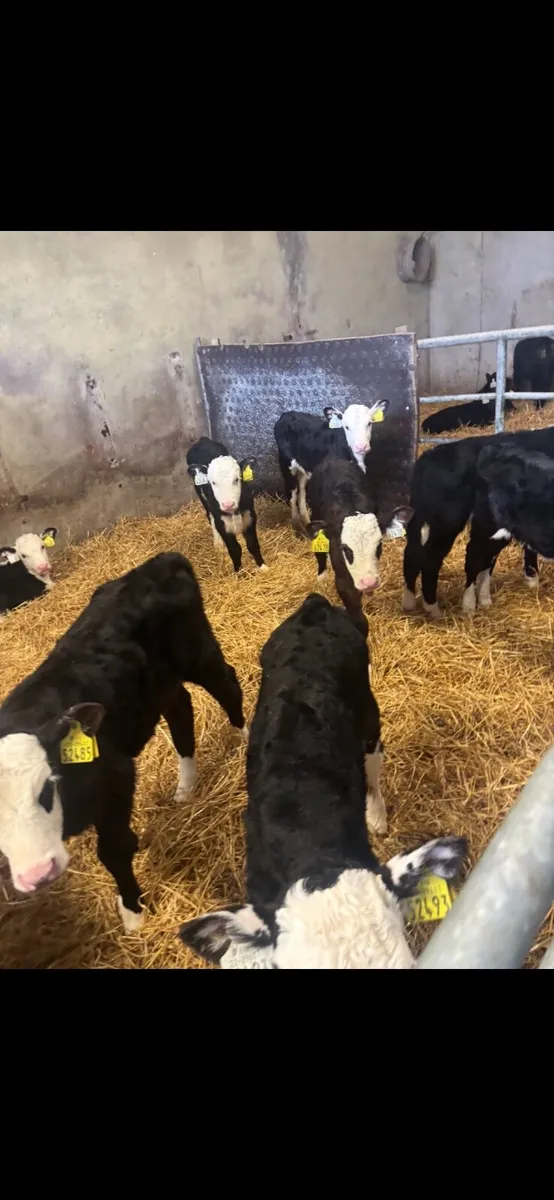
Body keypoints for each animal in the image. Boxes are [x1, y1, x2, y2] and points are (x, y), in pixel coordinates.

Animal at [0, 552, 246, 931]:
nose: (37, 874)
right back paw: (186, 786)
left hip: (198, 653)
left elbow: (114, 850)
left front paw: (133, 912)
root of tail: (158, 561)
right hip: (161, 684)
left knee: (228, 685)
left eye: (47, 786)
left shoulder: (115, 776)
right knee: (181, 709)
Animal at [186, 437, 266, 573]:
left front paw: (263, 567)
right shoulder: (222, 524)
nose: (228, 504)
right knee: (210, 516)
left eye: (237, 479)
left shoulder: (250, 516)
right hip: (203, 498)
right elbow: (235, 549)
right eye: (213, 482)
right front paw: (238, 572)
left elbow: (253, 544)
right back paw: (218, 543)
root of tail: (202, 440)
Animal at [274, 399, 389, 535]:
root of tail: (287, 414)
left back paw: (307, 523)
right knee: (292, 493)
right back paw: (297, 527)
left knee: (301, 489)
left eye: (369, 423)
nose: (361, 446)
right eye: (346, 427)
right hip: (286, 463)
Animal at [402, 427, 554, 618]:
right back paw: (436, 608)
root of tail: (428, 457)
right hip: (447, 522)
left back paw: (411, 602)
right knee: (434, 559)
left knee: (413, 554)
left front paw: (532, 579)